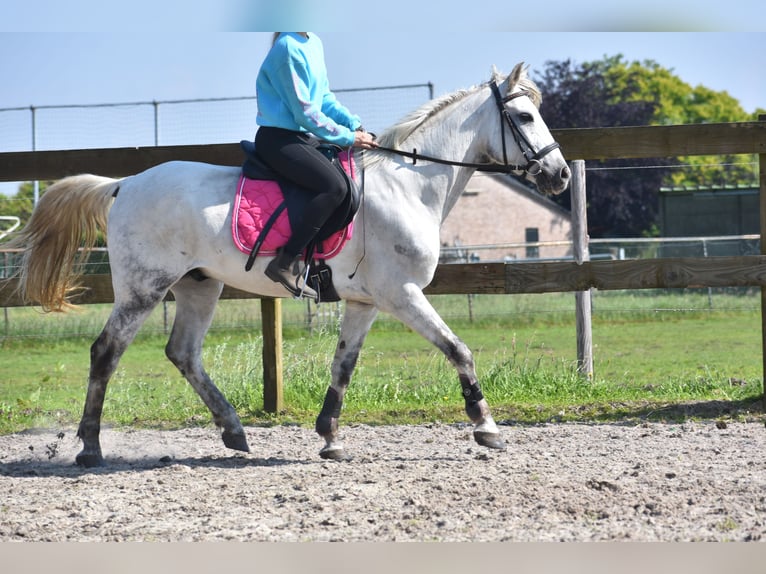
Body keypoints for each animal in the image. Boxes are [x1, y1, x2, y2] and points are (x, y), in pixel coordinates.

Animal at [10, 64, 568, 468]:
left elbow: (344, 365)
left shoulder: (365, 302)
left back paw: (234, 432)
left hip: (198, 287)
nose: (560, 174)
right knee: (106, 352)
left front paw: (330, 438)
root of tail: (125, 184)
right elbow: (459, 349)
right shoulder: (402, 293)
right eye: (523, 118)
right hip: (143, 289)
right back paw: (90, 448)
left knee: (183, 352)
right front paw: (486, 428)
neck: (407, 185)